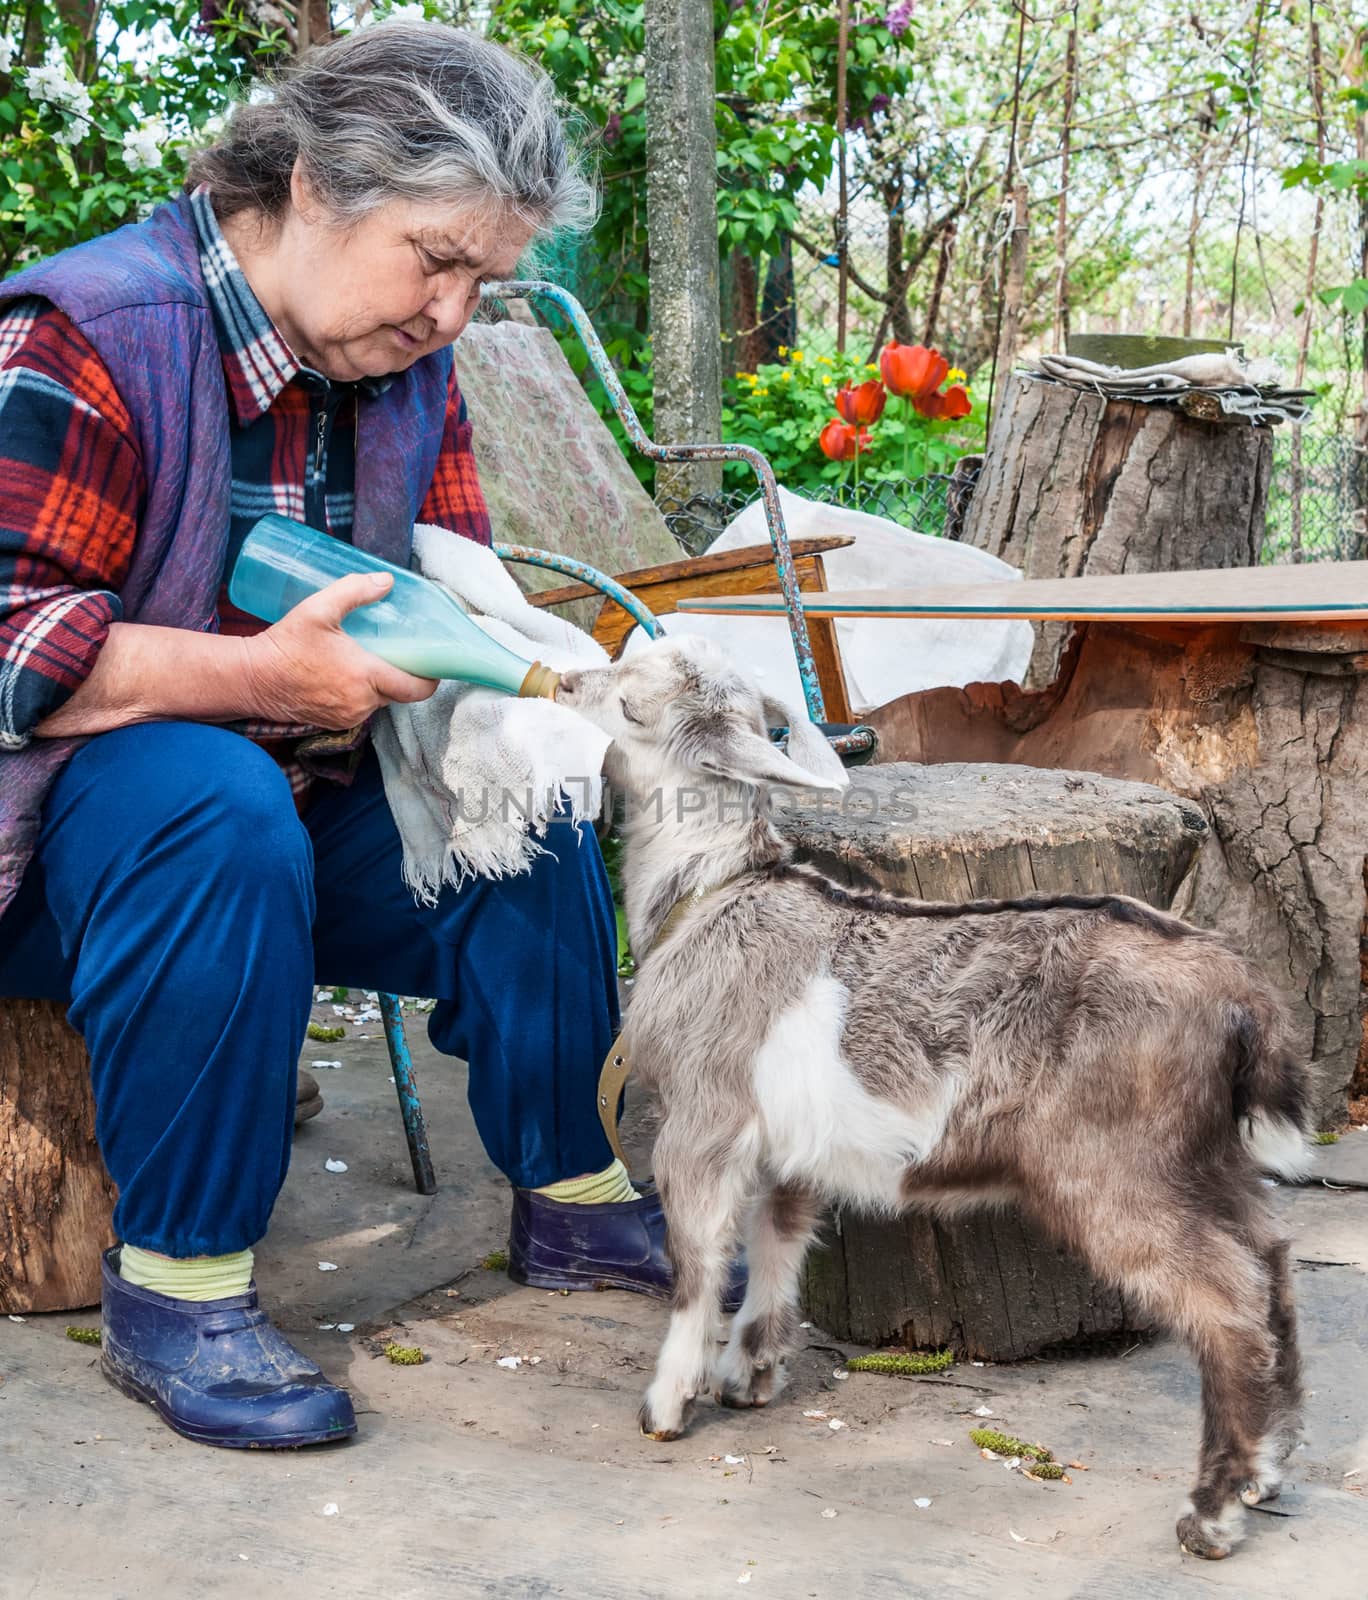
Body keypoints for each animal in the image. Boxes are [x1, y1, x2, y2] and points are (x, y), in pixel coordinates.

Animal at [556, 630, 1318, 1555]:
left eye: (630, 702)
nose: (560, 682)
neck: (712, 891)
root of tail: (1242, 995)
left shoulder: (699, 1125)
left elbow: (698, 1265)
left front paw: (667, 1405)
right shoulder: (789, 1150)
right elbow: (777, 1244)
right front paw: (751, 1375)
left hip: (1118, 1169)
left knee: (1227, 1301)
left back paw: (1211, 1512)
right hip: (1209, 1159)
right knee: (1271, 1263)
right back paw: (1268, 1469)